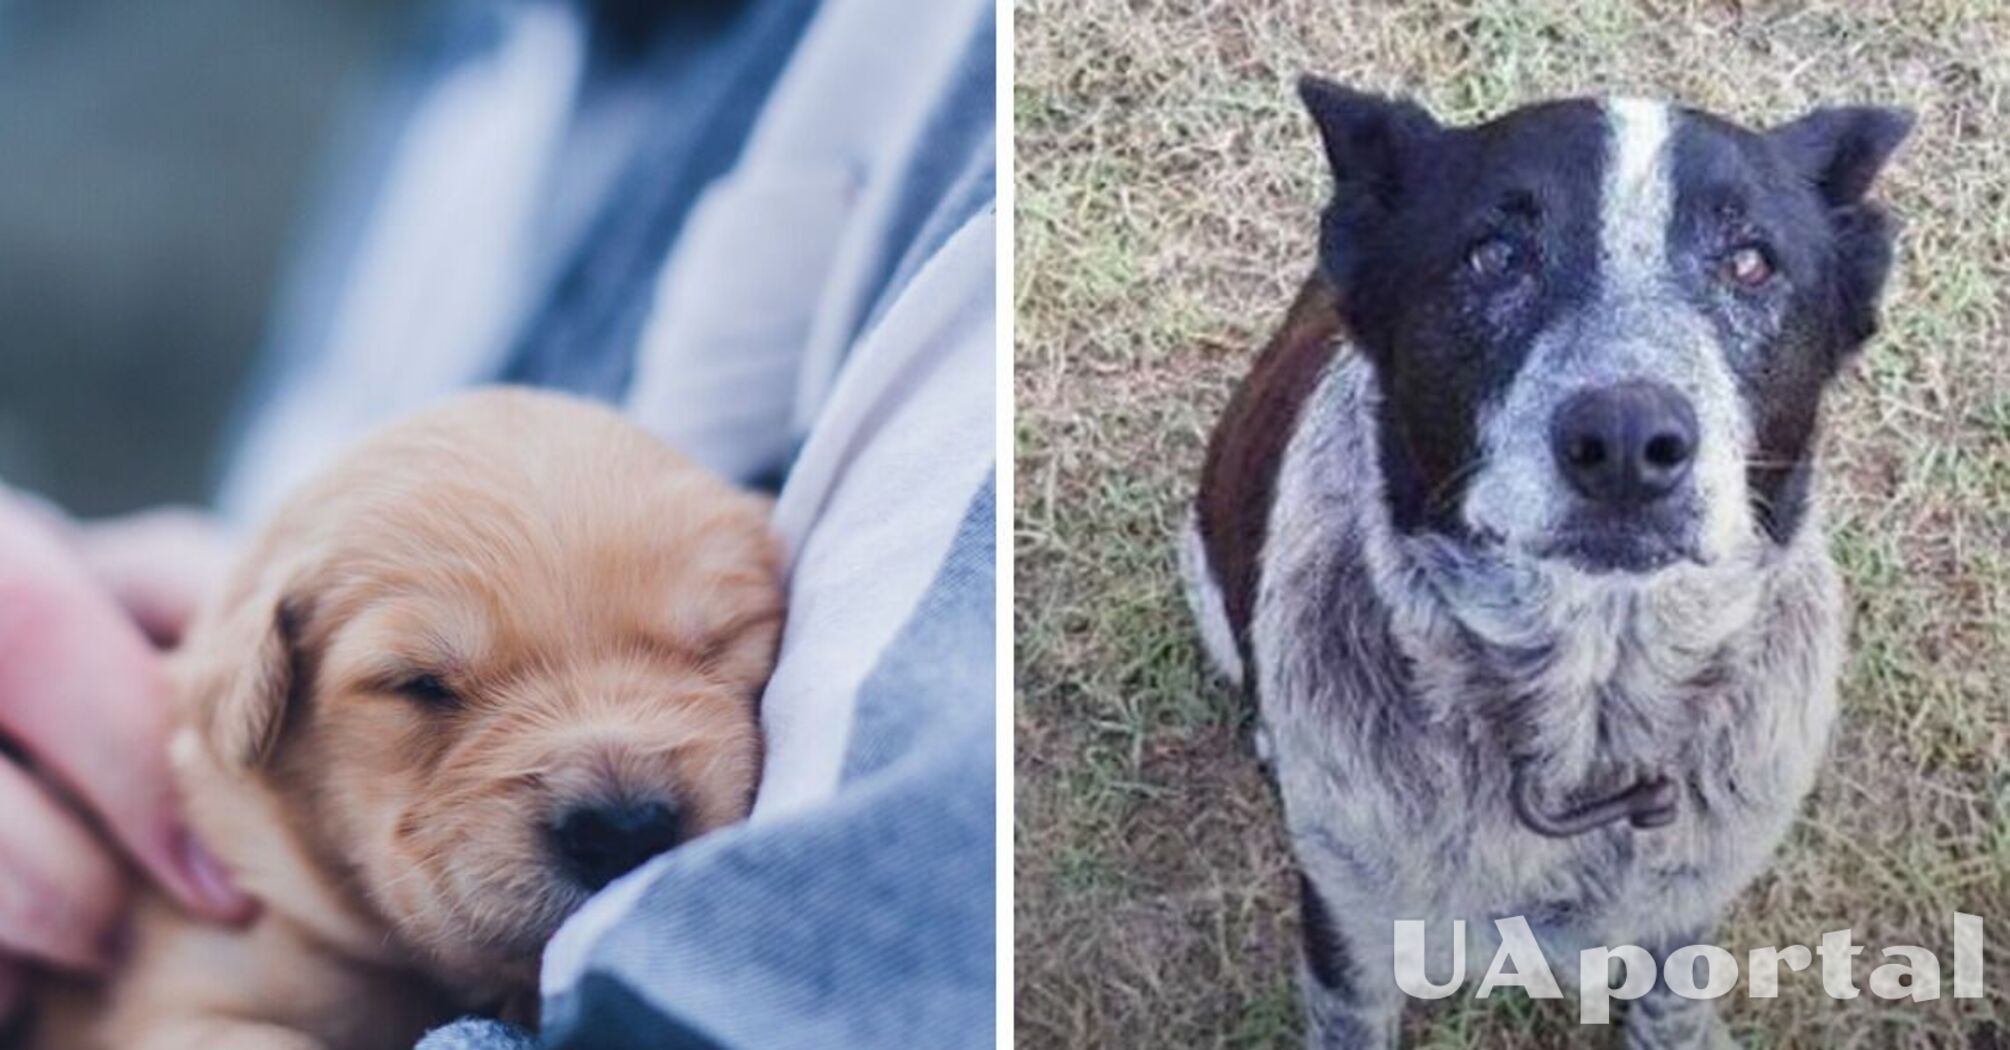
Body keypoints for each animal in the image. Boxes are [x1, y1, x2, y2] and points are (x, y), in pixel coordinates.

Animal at [1181, 83, 1905, 1045]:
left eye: (1752, 264)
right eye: (1493, 256)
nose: (1629, 440)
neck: (1584, 734)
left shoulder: (1685, 911)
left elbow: (1673, 998)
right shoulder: (1351, 933)